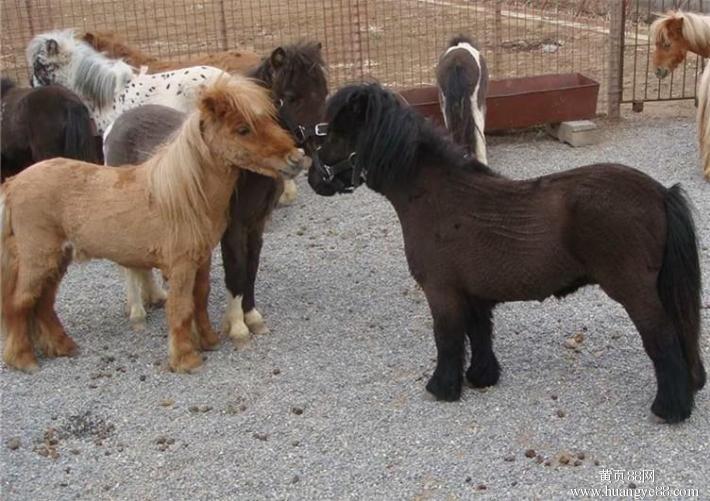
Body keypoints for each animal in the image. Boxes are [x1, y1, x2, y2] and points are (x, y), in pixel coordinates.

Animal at [1, 77, 306, 374]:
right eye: (243, 129)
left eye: (271, 119)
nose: (296, 158)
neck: (185, 195)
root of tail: (15, 183)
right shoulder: (182, 264)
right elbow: (181, 307)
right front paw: (186, 359)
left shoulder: (202, 258)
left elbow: (200, 298)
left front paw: (208, 340)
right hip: (38, 258)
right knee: (21, 301)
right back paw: (24, 359)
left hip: (58, 258)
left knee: (43, 302)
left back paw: (64, 346)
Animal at [102, 42, 328, 340]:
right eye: (290, 97)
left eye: (324, 91)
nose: (313, 151)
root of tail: (115, 125)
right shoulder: (232, 227)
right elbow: (236, 270)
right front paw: (238, 326)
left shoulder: (256, 224)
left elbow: (251, 268)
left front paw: (252, 316)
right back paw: (137, 312)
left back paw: (156, 297)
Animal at [307, 83, 705, 423]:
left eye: (338, 134)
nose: (314, 179)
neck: (434, 196)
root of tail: (660, 192)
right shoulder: (473, 294)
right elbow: (479, 333)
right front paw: (481, 377)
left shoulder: (441, 292)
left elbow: (448, 339)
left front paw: (443, 387)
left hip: (634, 291)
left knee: (664, 339)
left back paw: (670, 408)